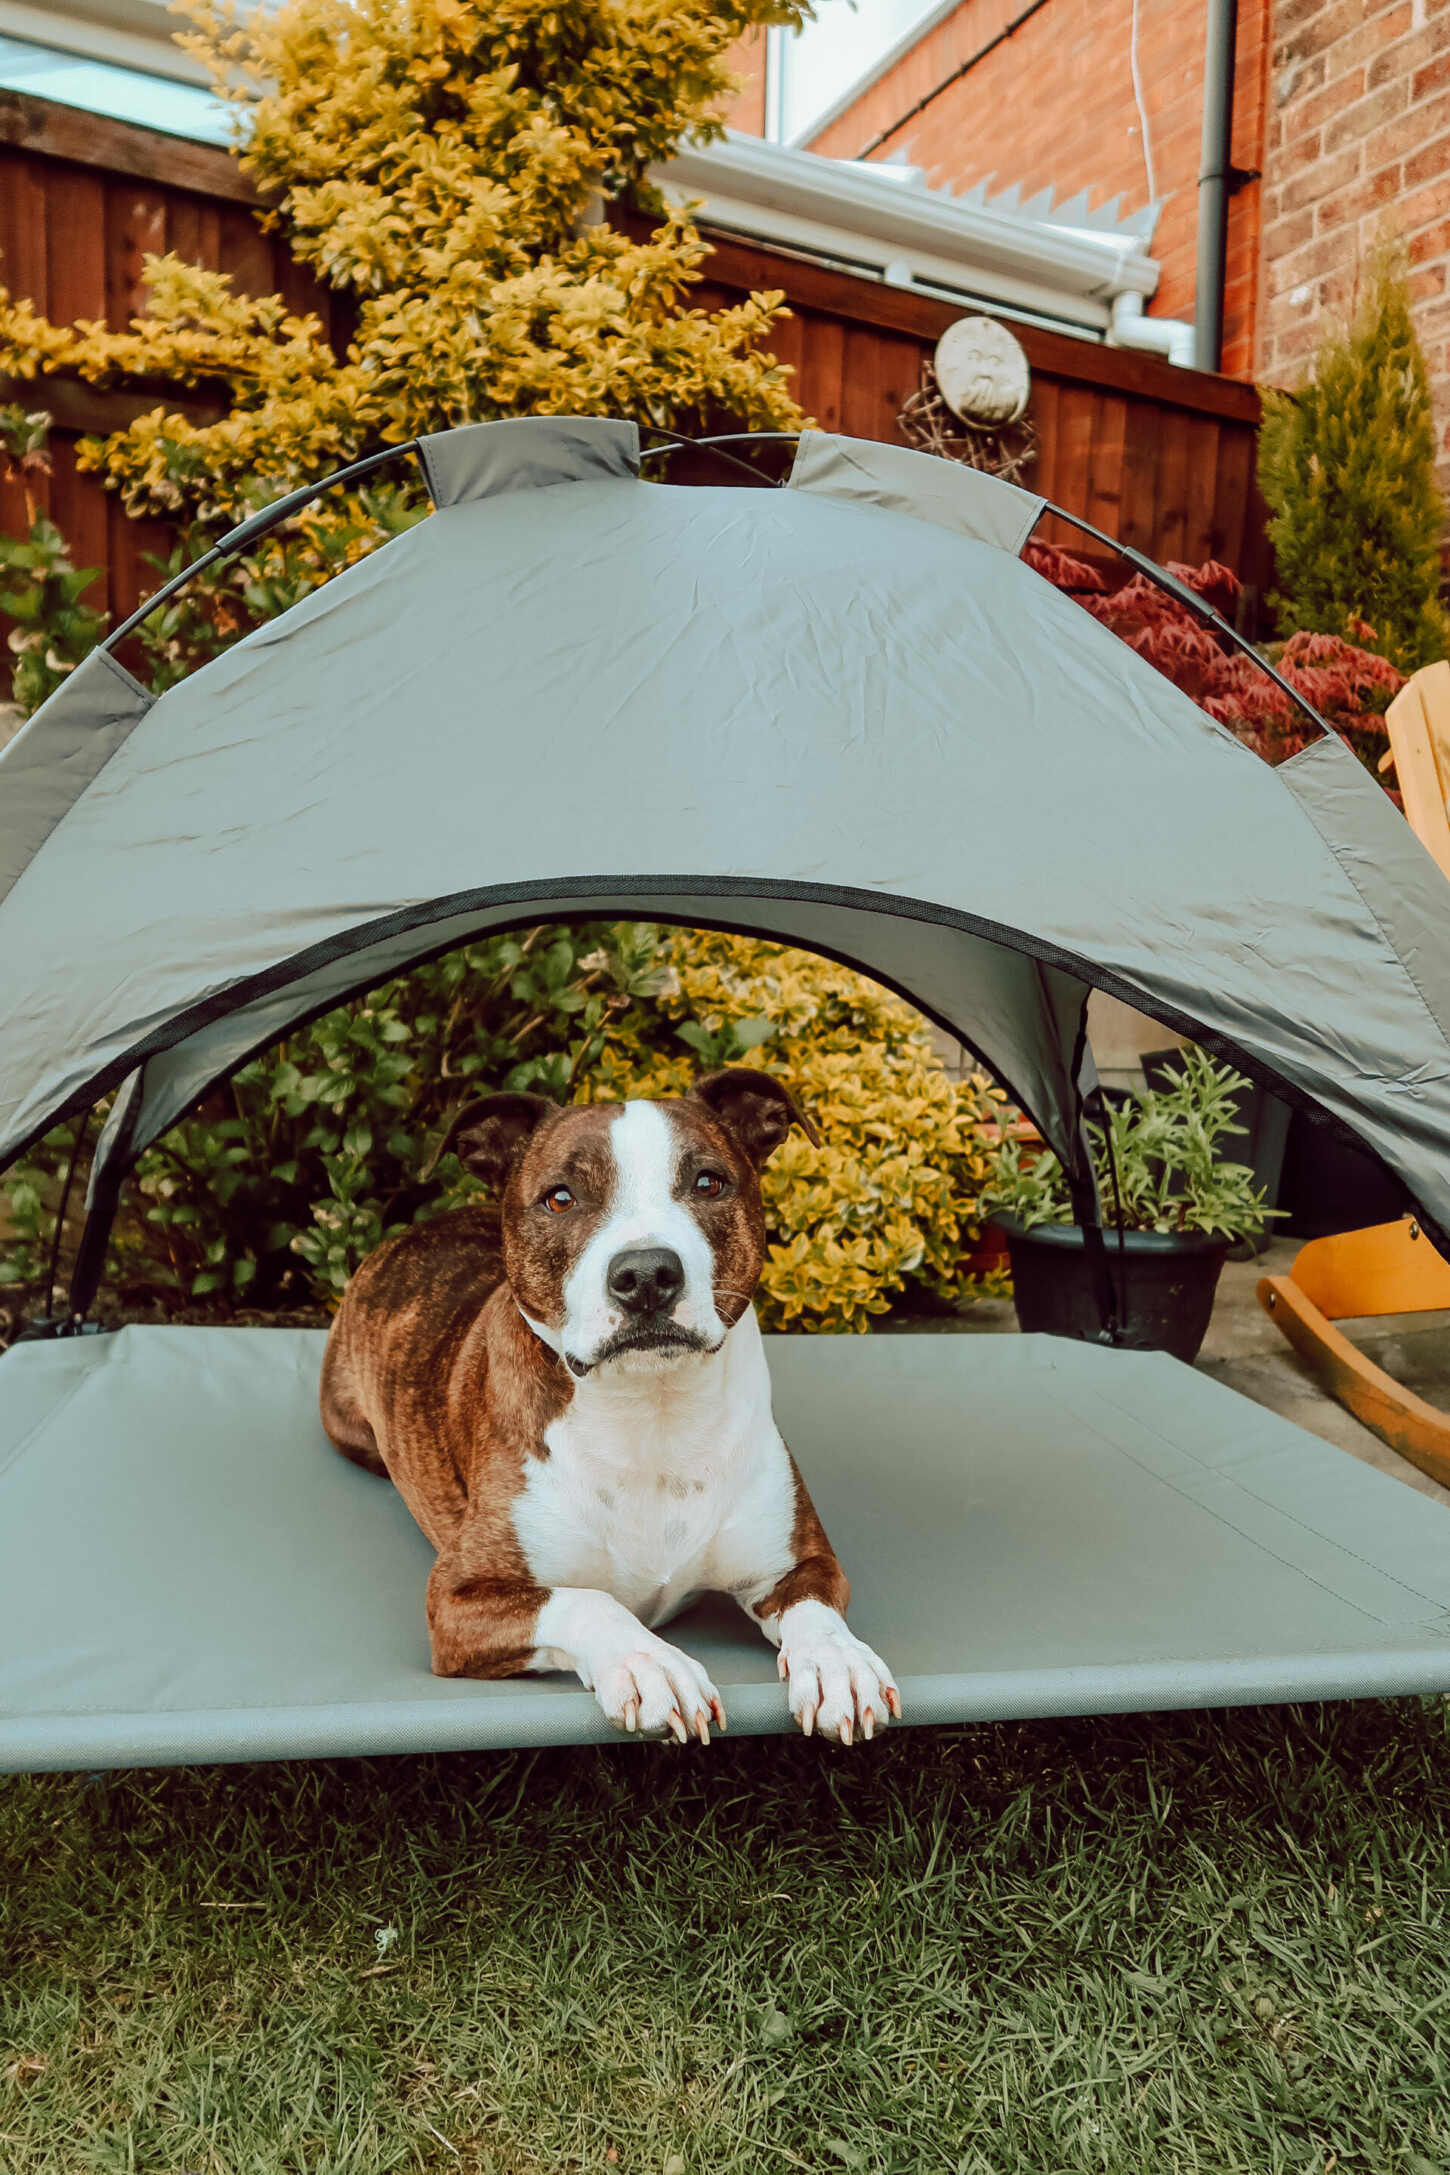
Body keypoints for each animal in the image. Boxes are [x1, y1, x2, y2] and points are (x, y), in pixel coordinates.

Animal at [323, 1070, 900, 1748]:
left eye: (708, 1182)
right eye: (560, 1198)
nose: (647, 1273)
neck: (650, 1411)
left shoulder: (801, 1561)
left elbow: (816, 1608)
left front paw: (839, 1663)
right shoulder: (459, 1598)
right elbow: (586, 1600)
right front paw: (651, 1663)